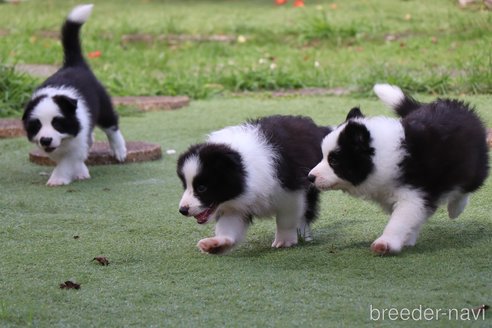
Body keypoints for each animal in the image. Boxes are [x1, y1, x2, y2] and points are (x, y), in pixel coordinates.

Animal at [21, 3, 126, 186]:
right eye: (37, 125)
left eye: (57, 123)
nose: (45, 140)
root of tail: (74, 64)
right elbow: (69, 158)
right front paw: (80, 172)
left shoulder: (76, 141)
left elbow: (67, 161)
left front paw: (57, 179)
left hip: (103, 106)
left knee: (112, 126)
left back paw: (119, 150)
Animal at [176, 115, 330, 254]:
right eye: (185, 186)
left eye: (202, 188)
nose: (183, 210)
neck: (244, 166)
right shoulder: (234, 206)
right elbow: (229, 226)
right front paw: (216, 243)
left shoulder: (290, 192)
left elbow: (285, 218)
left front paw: (284, 240)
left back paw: (303, 234)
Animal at [310, 83, 490, 255]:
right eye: (324, 156)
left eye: (333, 161)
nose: (310, 176)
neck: (382, 156)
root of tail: (455, 104)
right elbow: (412, 219)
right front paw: (407, 239)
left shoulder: (414, 195)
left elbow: (399, 221)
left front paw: (385, 243)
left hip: (473, 163)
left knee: (467, 185)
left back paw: (455, 209)